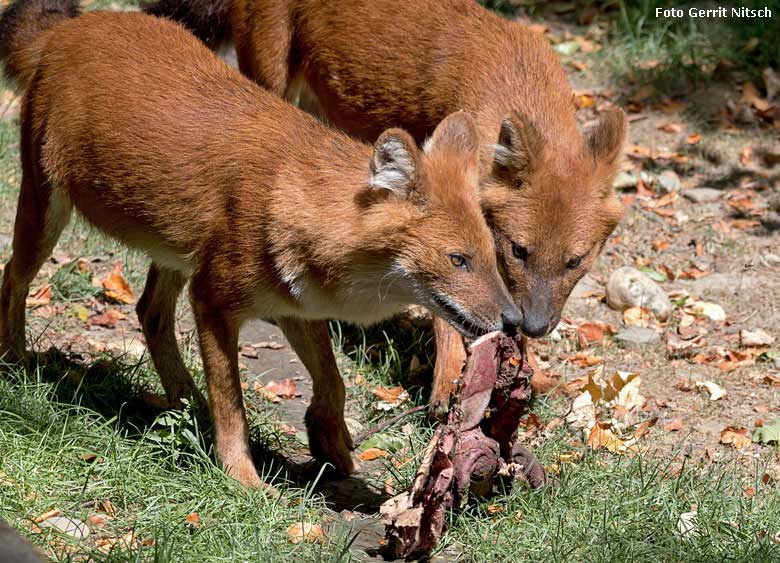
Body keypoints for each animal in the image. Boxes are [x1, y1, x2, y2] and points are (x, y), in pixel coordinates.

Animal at [3, 0, 524, 484]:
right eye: (458, 260)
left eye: (491, 256)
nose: (516, 321)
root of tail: (69, 28)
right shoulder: (212, 301)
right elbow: (232, 403)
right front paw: (242, 478)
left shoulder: (296, 304)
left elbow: (333, 379)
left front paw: (330, 442)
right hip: (45, 206)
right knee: (13, 277)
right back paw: (16, 361)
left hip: (174, 247)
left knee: (149, 311)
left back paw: (185, 399)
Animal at [146, 0, 632, 410]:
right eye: (518, 250)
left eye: (575, 262)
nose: (535, 326)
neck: (516, 78)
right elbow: (447, 307)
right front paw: (449, 380)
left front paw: (523, 373)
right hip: (271, 76)